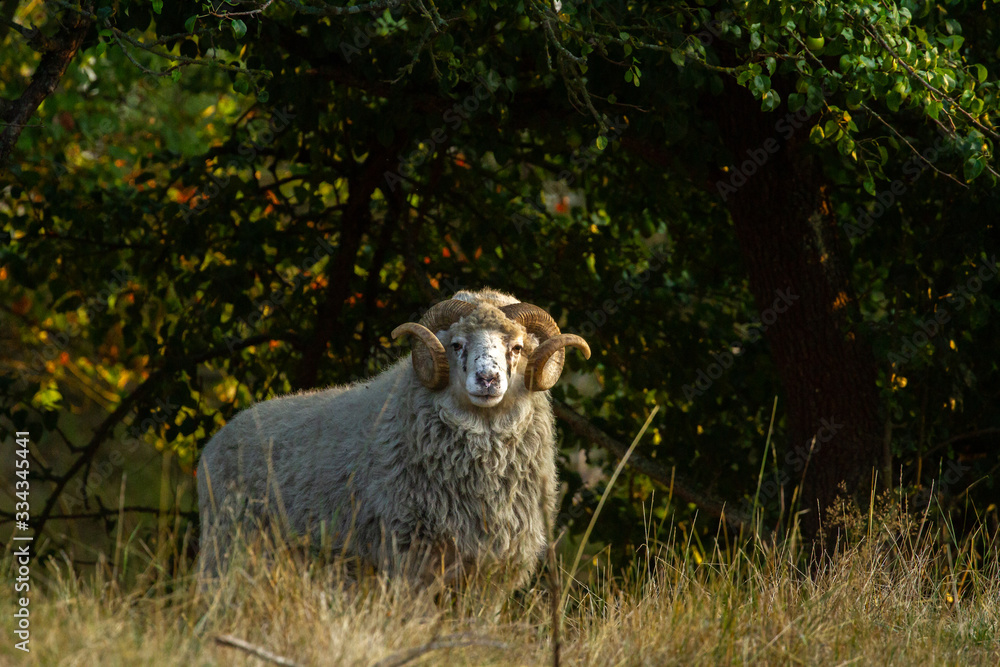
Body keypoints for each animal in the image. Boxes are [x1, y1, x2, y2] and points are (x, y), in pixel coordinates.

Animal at [198, 290, 588, 588]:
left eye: (518, 347)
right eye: (457, 345)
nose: (488, 379)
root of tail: (214, 442)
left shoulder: (494, 570)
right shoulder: (411, 555)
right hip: (227, 549)